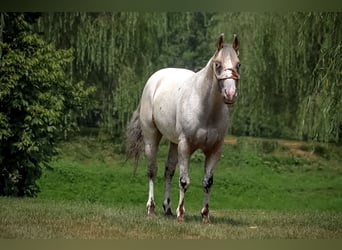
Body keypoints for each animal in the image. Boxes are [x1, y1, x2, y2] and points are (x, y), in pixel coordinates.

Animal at [126, 33, 240, 223]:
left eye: (238, 64)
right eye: (218, 64)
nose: (230, 95)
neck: (205, 108)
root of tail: (154, 80)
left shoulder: (214, 150)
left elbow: (207, 182)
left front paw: (205, 216)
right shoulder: (185, 146)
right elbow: (184, 181)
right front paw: (181, 214)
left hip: (174, 143)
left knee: (168, 171)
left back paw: (167, 208)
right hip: (152, 137)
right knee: (152, 171)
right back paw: (151, 208)